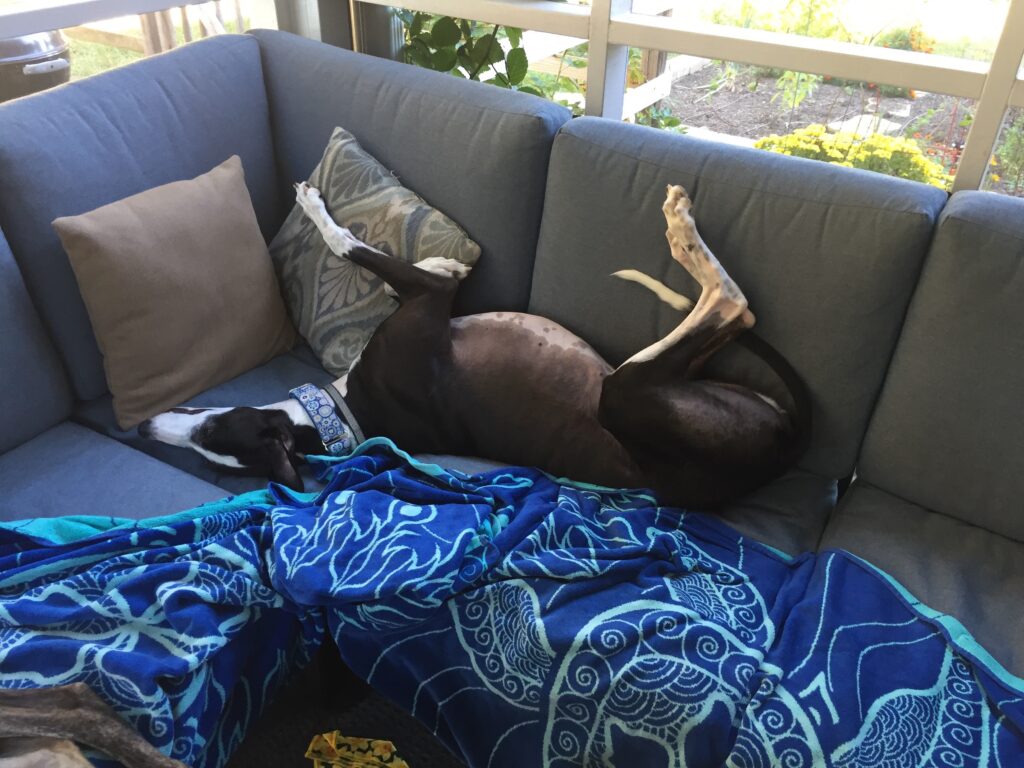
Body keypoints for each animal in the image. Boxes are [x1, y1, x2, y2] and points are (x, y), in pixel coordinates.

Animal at [138, 185, 806, 512]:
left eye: (210, 427)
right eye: (210, 451)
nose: (142, 428)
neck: (342, 412)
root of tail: (784, 446)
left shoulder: (424, 303)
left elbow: (380, 262)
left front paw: (436, 256)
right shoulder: (430, 307)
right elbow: (352, 246)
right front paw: (317, 208)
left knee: (731, 312)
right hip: (629, 391)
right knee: (733, 302)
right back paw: (680, 229)